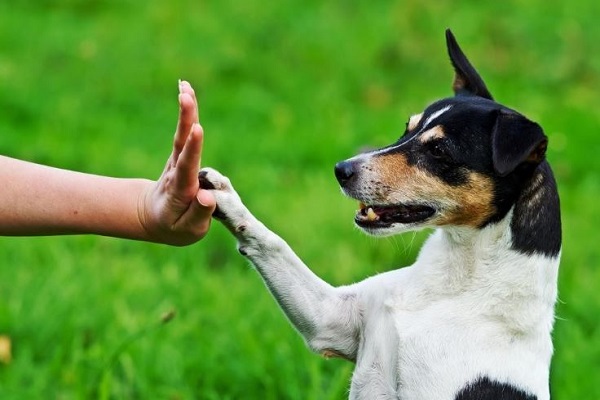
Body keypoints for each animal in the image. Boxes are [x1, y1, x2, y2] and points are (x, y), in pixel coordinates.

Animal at [199, 29, 560, 398]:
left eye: (439, 150)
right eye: (407, 128)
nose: (341, 170)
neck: (454, 285)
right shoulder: (330, 319)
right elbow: (273, 244)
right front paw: (223, 196)